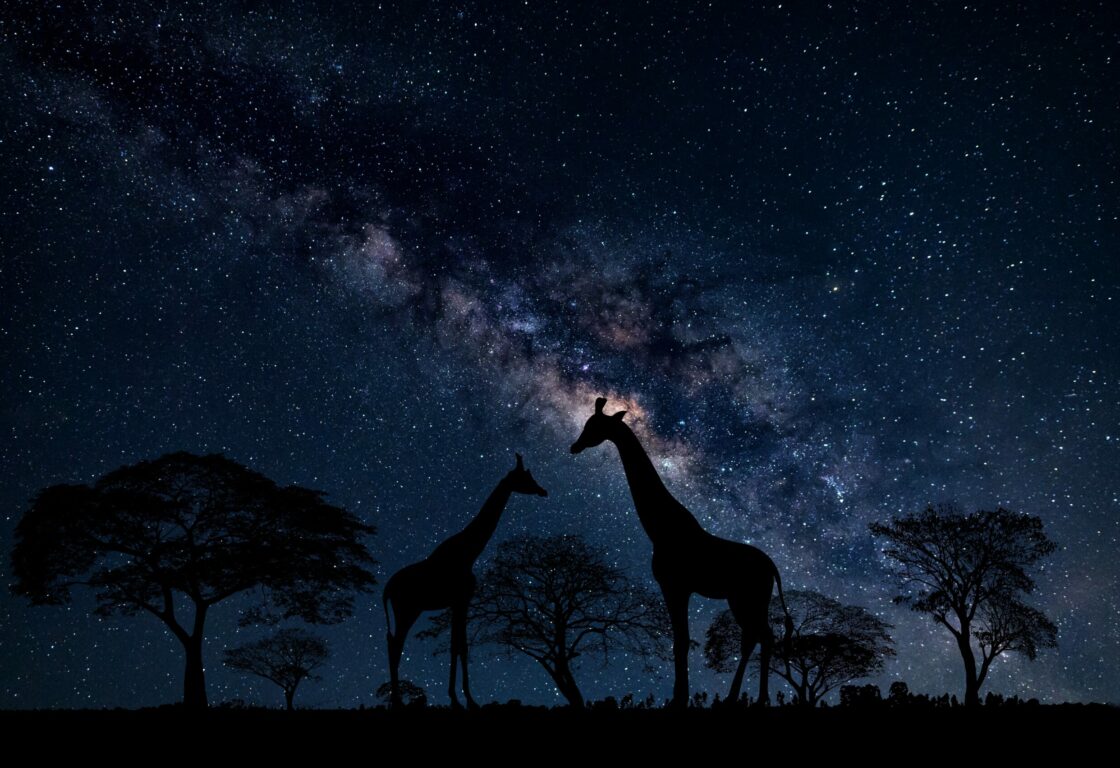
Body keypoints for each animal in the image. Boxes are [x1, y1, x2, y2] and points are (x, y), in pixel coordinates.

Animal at [382, 453, 548, 708]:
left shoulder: (458, 602)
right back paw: (398, 702)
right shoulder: (462, 599)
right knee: (395, 646)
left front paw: (460, 697)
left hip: (411, 611)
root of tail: (387, 589)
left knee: (393, 644)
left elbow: (458, 645)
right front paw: (465, 698)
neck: (469, 551)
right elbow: (460, 646)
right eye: (524, 477)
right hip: (407, 610)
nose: (543, 490)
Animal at [570, 397, 792, 707]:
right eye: (587, 423)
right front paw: (680, 697)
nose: (574, 446)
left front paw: (679, 699)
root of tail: (773, 567)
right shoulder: (677, 588)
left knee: (761, 636)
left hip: (749, 598)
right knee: (757, 637)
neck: (660, 527)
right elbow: (680, 640)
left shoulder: (675, 585)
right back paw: (738, 699)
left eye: (595, 426)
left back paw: (754, 700)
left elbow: (681, 641)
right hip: (744, 600)